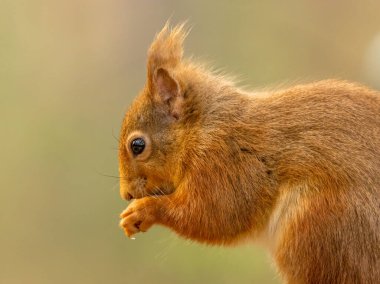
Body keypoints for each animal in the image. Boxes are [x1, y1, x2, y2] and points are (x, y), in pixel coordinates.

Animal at [119, 23, 380, 282]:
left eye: (137, 145)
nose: (127, 194)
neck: (202, 129)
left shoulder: (226, 163)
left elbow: (214, 215)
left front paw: (145, 210)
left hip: (320, 227)